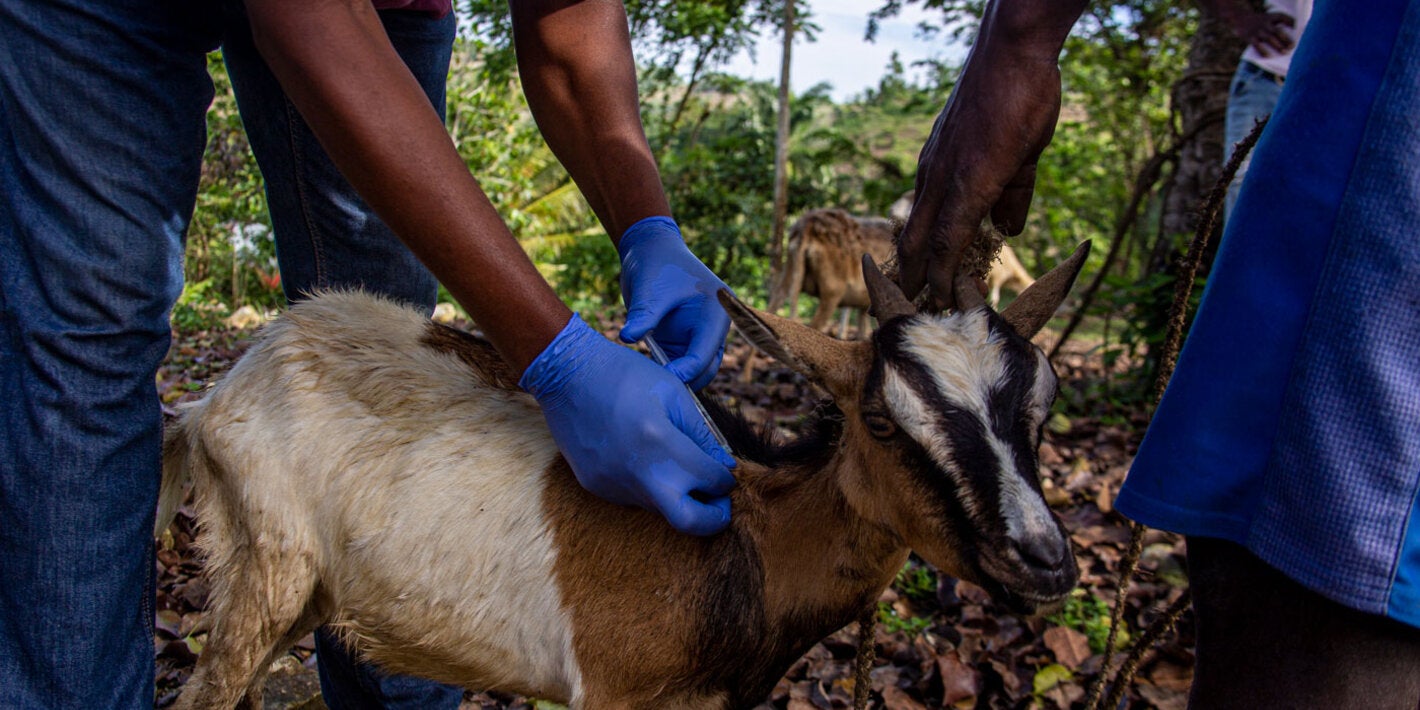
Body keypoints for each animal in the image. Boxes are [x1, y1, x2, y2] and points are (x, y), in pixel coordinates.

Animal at [156, 244, 1089, 709]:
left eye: (1044, 402)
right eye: (883, 422)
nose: (1044, 559)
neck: (751, 539)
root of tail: (214, 397)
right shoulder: (613, 690)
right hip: (265, 567)